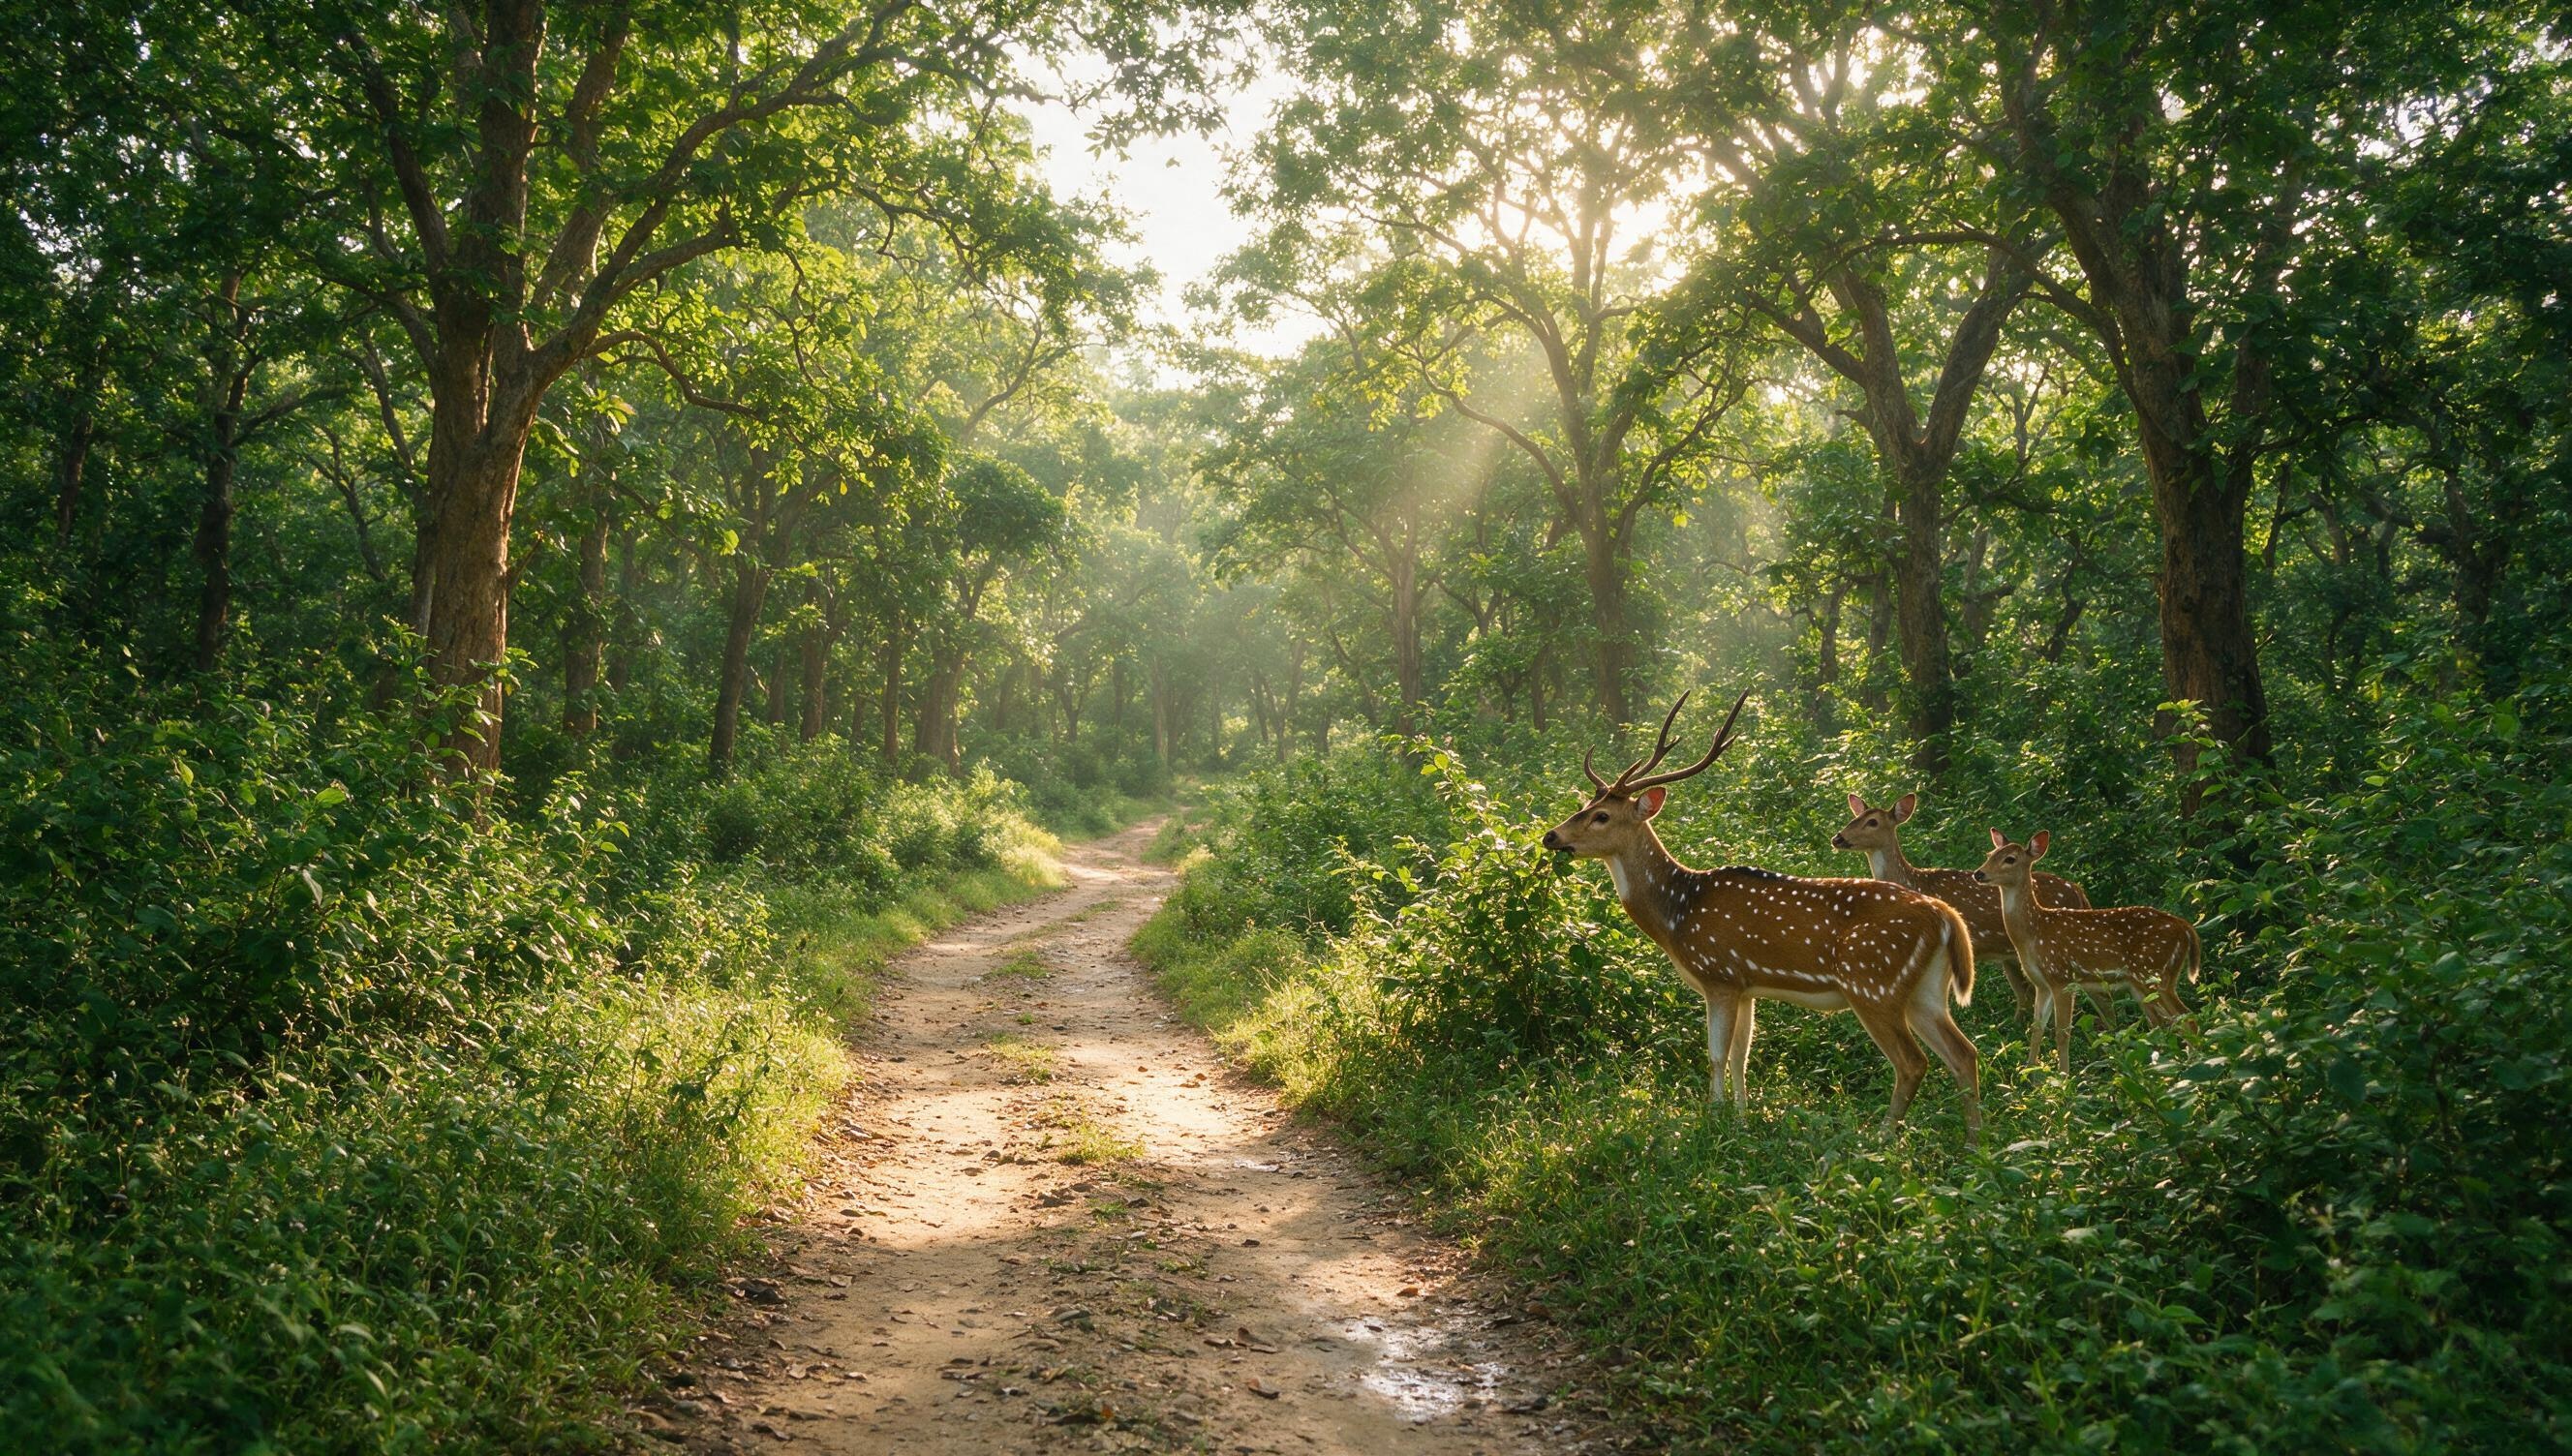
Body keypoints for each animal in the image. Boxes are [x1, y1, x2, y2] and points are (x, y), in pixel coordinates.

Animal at [1542, 691, 1984, 1147]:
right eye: (1584, 805)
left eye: (1602, 816)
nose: (1550, 836)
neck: (1677, 913)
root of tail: (1946, 916)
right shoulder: (1747, 986)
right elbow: (1742, 1055)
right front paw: (1741, 1119)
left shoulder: (1719, 974)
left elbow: (1716, 1054)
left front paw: (1714, 1121)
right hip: (1925, 990)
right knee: (1964, 1053)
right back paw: (1974, 1142)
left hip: (1873, 982)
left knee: (1913, 1062)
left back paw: (1878, 1138)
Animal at [1971, 831, 2201, 1073]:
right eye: (1990, 854)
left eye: (2010, 859)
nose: (1979, 873)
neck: (2034, 932)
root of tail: (2186, 929)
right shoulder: (2042, 984)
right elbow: (2036, 1029)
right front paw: (2029, 1071)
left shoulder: (2062, 977)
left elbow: (2062, 1033)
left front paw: (2063, 1076)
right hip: (2144, 982)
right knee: (2164, 1024)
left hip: (2155, 974)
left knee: (2187, 1019)